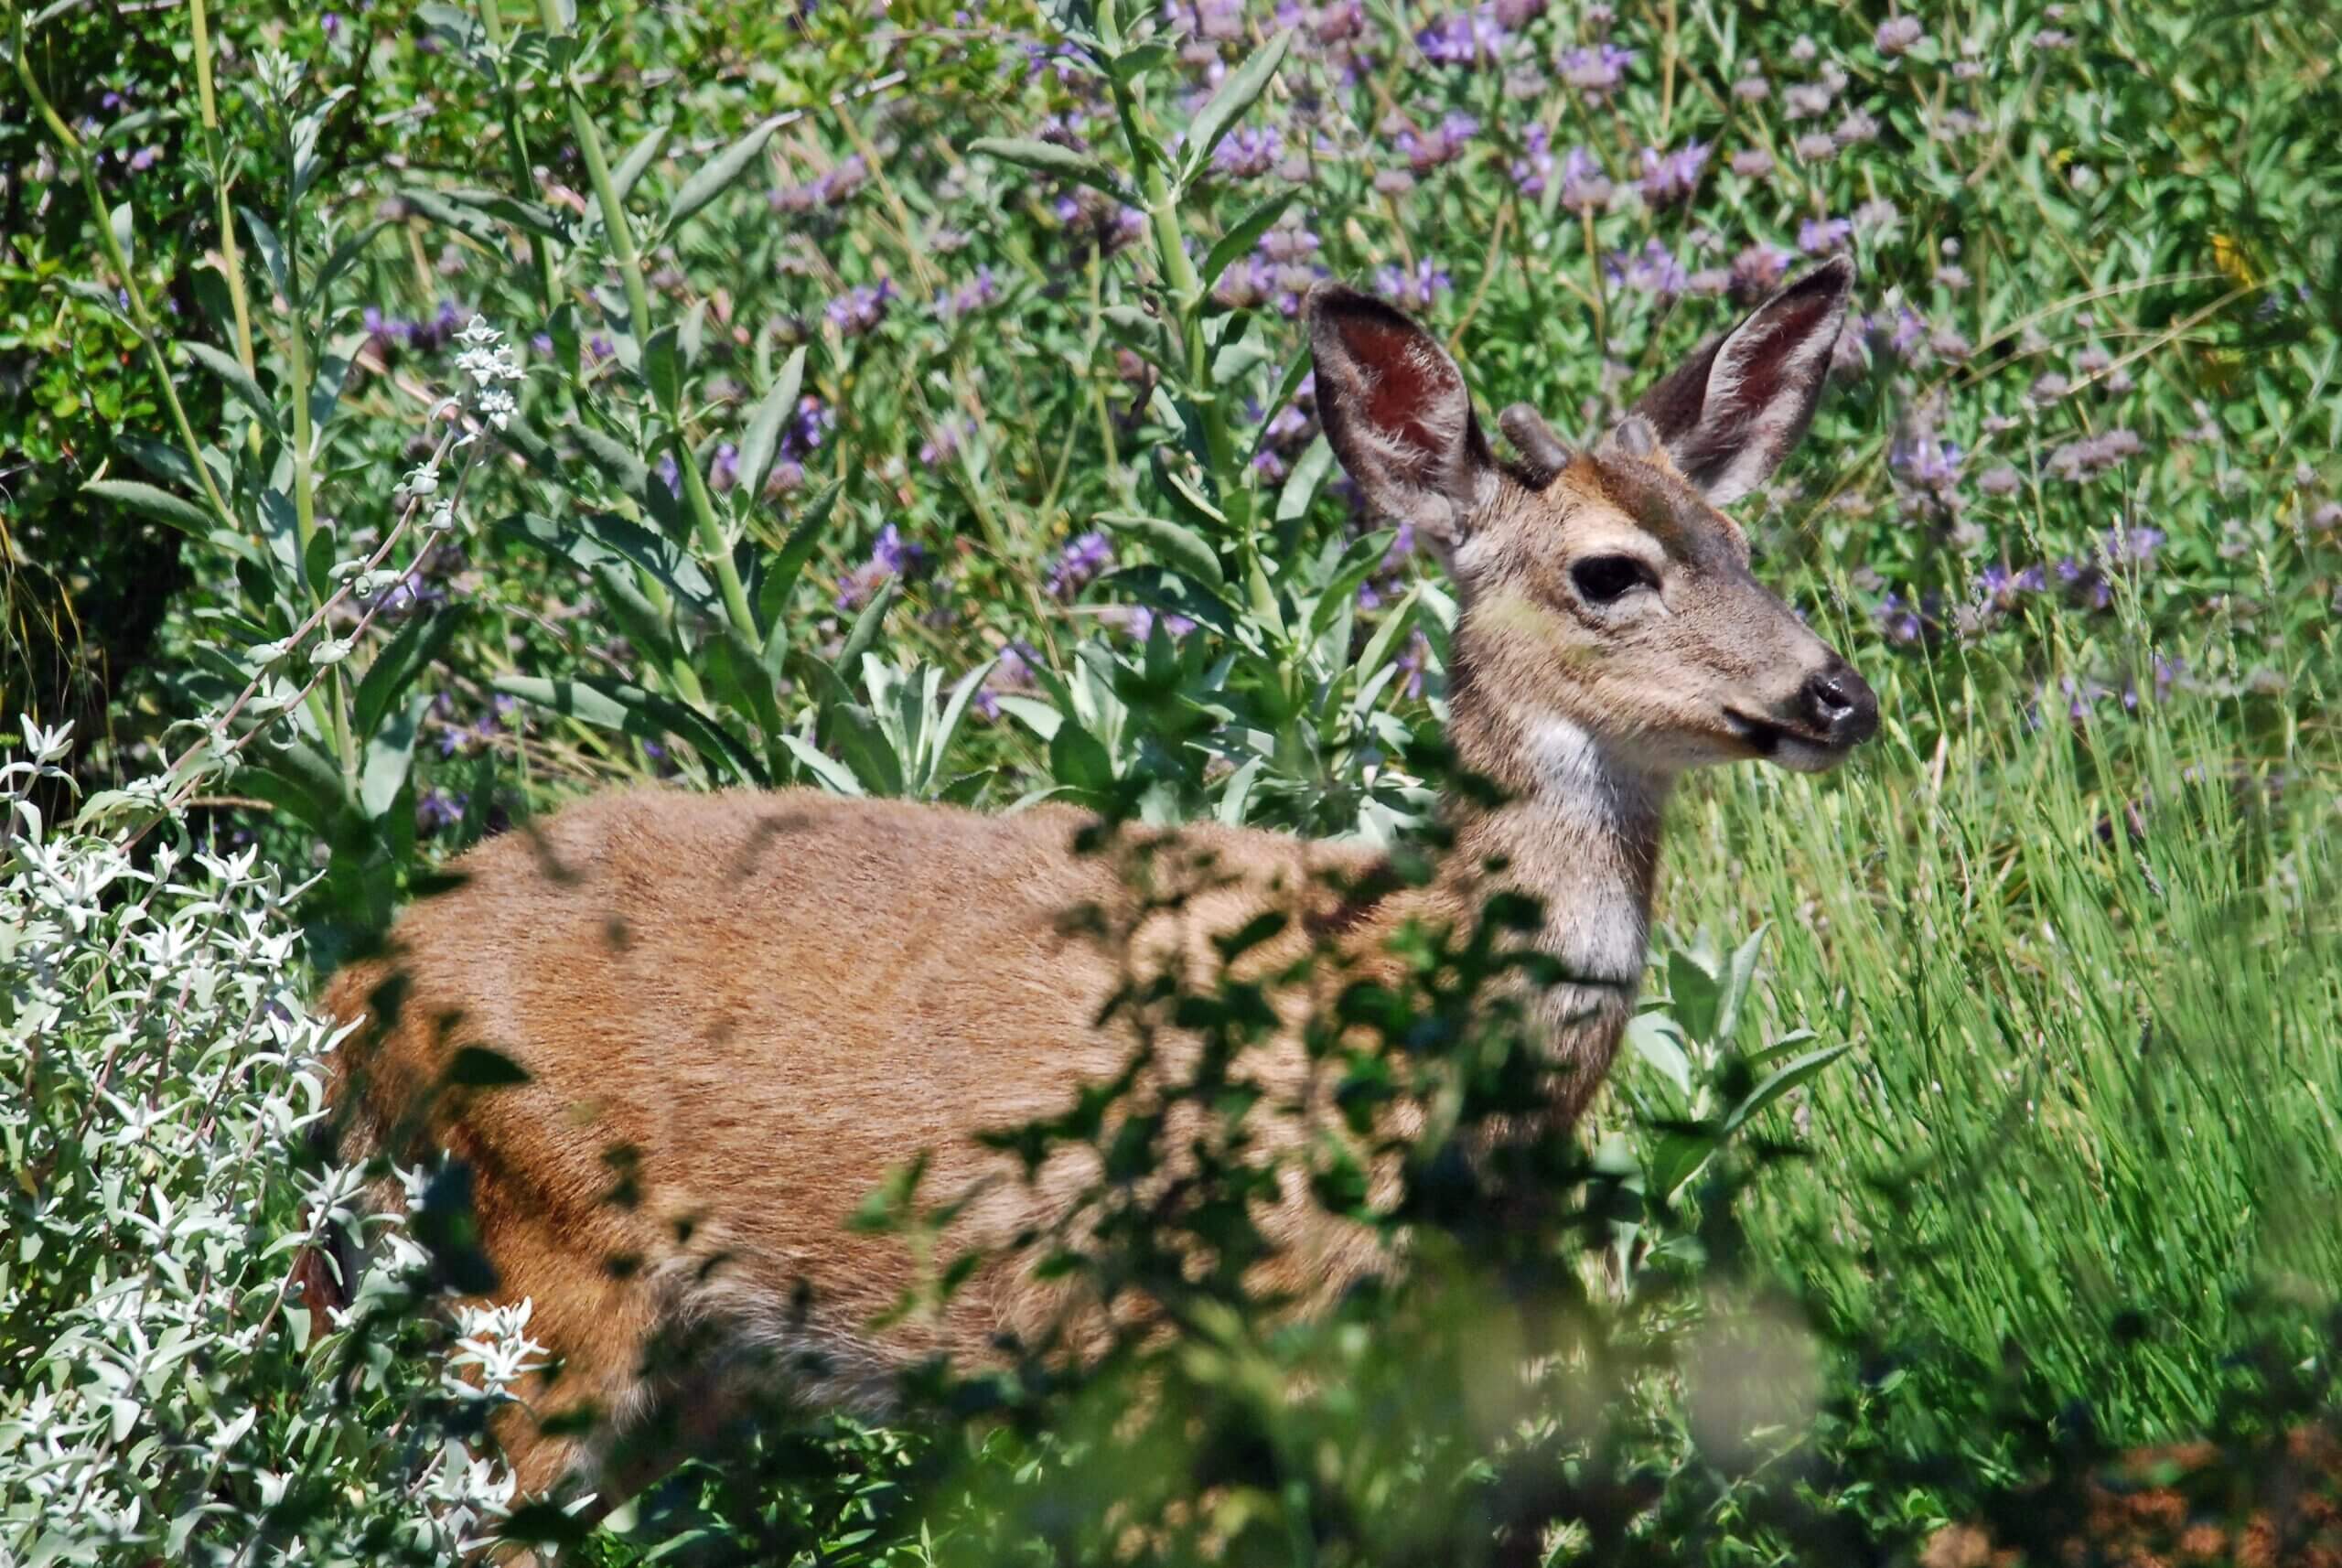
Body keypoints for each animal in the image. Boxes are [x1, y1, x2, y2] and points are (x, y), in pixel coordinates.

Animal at [316, 254, 1883, 1525]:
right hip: (538, 1266)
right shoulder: (1172, 1341)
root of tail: (356, 983)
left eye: (1745, 547)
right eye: (1610, 572)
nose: (1836, 692)